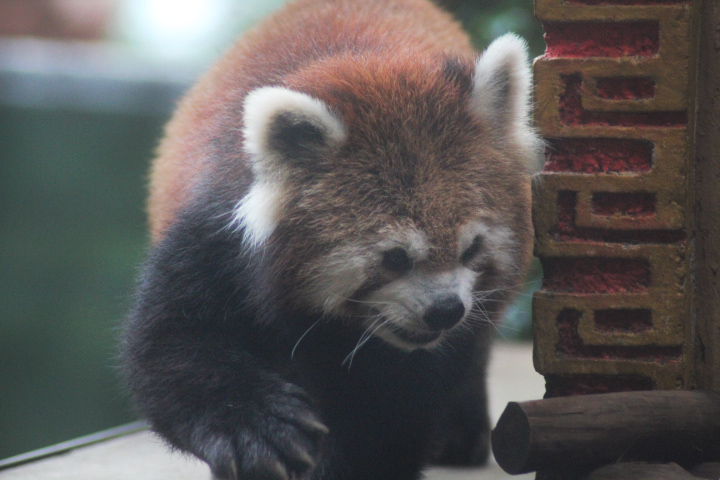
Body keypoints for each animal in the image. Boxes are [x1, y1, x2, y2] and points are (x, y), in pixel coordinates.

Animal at [121, 0, 541, 479]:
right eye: (395, 258)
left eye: (471, 249)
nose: (445, 310)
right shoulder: (214, 236)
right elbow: (171, 347)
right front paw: (259, 432)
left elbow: (397, 401)